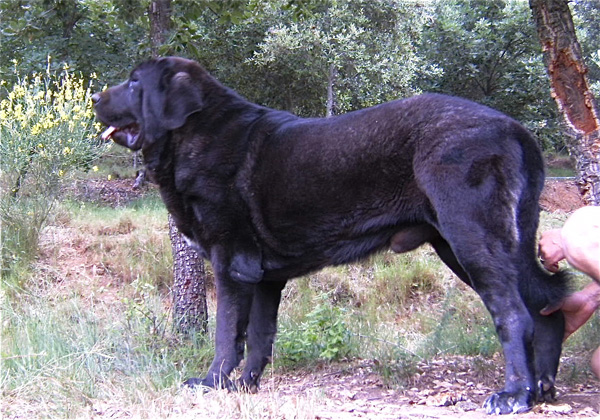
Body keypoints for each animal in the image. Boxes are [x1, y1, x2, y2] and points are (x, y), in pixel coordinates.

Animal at [92, 57, 568, 416]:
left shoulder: (232, 265)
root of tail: (514, 128)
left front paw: (212, 384)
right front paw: (246, 386)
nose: (94, 96)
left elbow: (228, 334)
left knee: (514, 314)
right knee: (547, 303)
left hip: (471, 239)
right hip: (480, 244)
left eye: (134, 82)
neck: (195, 135)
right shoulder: (264, 277)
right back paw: (543, 387)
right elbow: (260, 336)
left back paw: (514, 394)